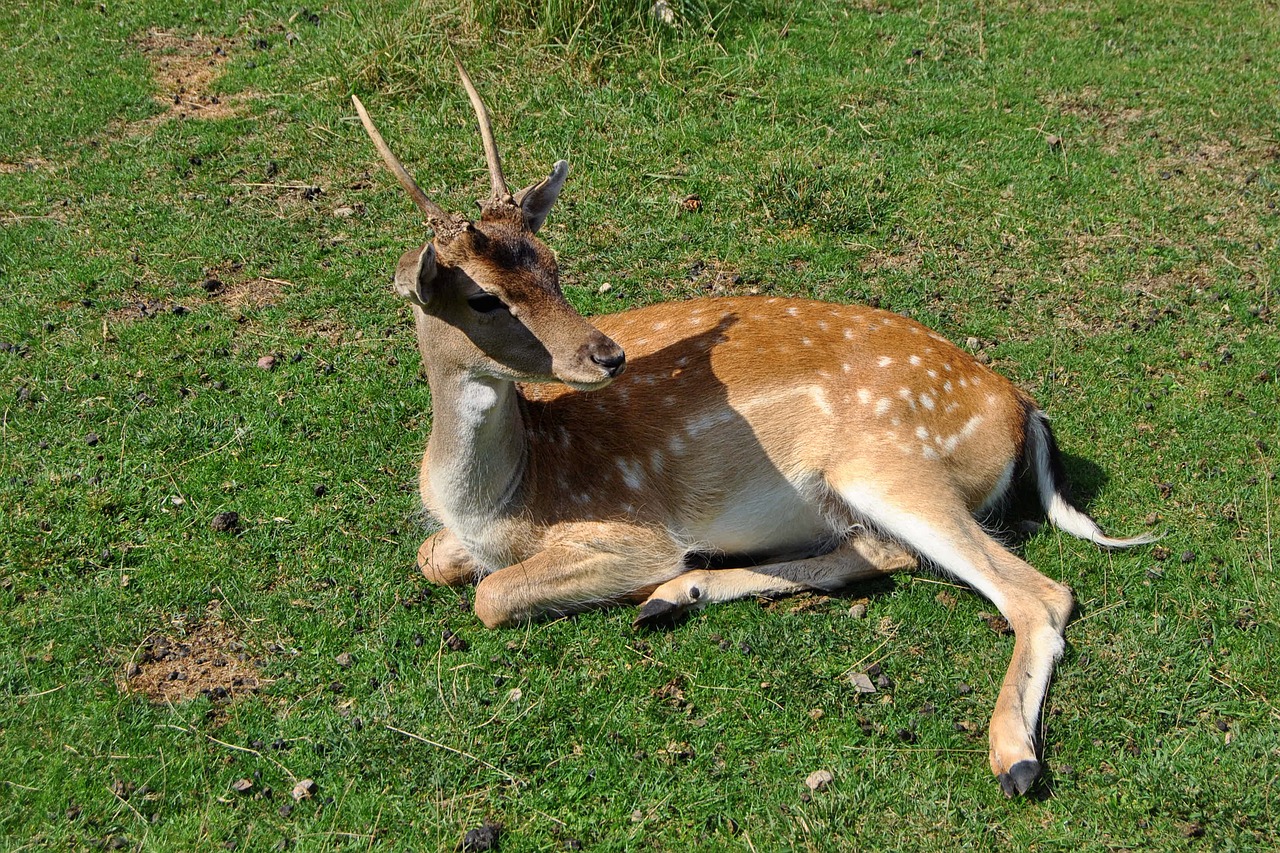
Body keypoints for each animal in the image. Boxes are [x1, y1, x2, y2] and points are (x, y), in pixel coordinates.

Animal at [353, 61, 1162, 799]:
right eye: (485, 296)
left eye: (555, 263)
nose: (606, 354)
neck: (502, 499)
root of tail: (1022, 406)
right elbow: (433, 557)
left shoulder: (633, 531)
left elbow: (491, 596)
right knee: (883, 552)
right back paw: (673, 598)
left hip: (891, 465)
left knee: (1039, 594)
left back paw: (1015, 759)